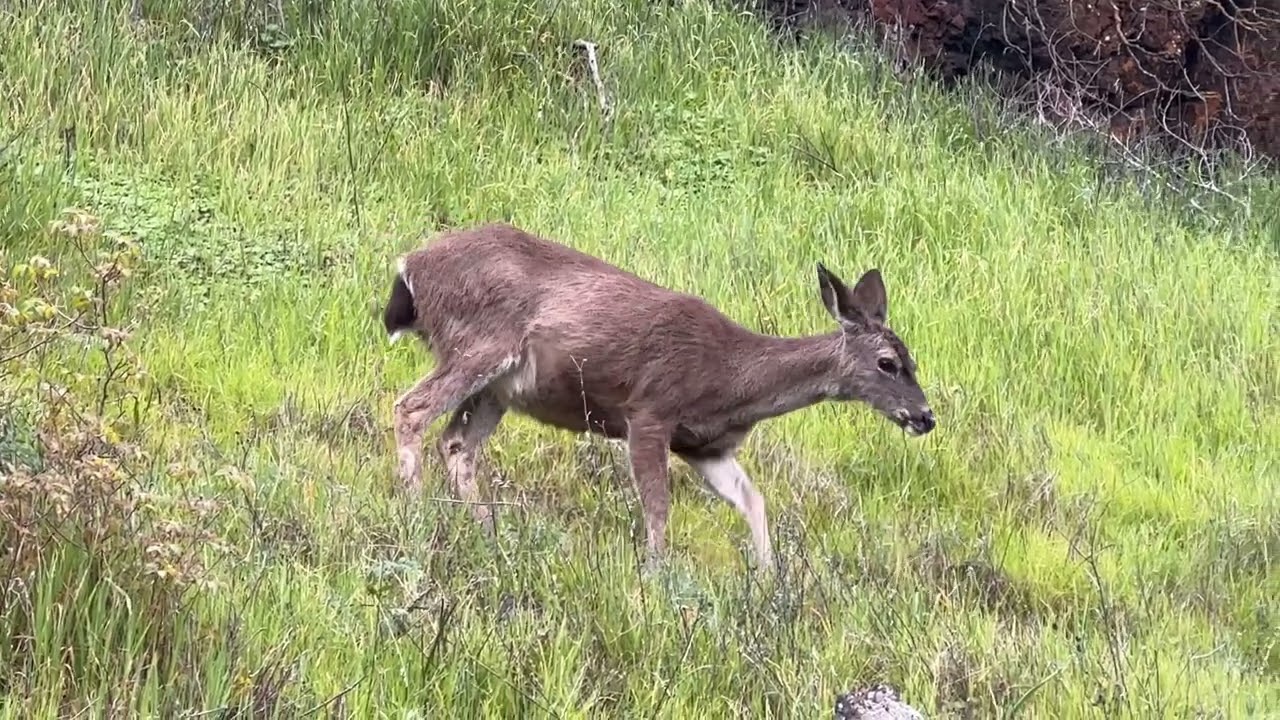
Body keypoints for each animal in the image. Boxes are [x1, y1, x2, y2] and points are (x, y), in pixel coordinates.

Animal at [382, 222, 935, 573]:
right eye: (888, 362)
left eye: (912, 357)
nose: (926, 416)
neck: (732, 379)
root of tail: (410, 266)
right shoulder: (649, 411)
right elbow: (658, 507)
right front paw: (655, 578)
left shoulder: (705, 446)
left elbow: (753, 500)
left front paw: (768, 580)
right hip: (479, 345)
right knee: (410, 408)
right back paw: (418, 514)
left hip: (500, 387)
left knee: (457, 445)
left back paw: (486, 533)